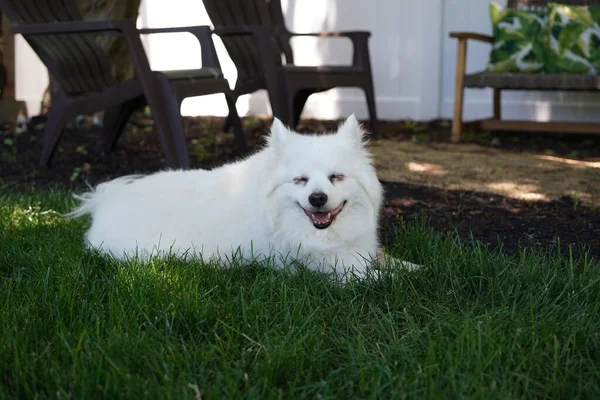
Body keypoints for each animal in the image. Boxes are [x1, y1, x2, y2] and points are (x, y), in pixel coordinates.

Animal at [69, 114, 418, 280]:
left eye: (336, 177)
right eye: (300, 180)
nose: (317, 198)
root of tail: (106, 201)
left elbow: (394, 262)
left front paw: (415, 267)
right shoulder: (323, 267)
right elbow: (377, 278)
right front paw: (398, 278)